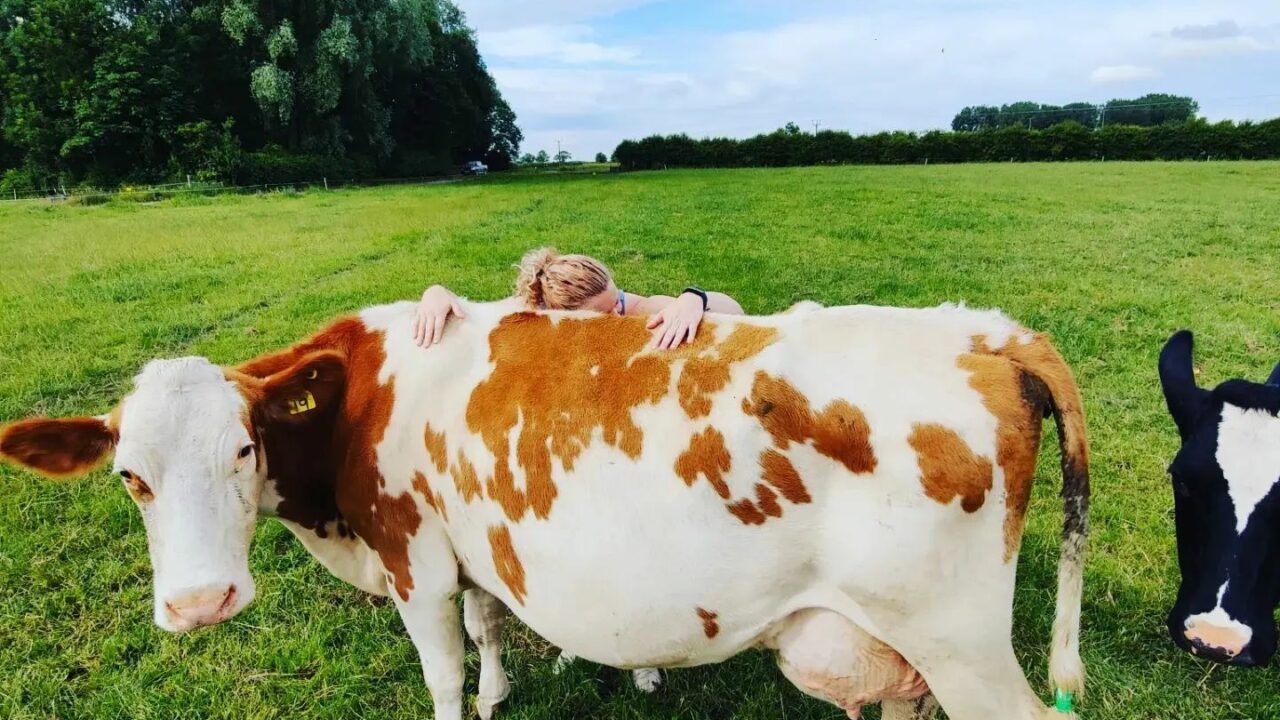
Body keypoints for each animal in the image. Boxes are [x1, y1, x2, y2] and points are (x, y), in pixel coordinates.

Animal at [0, 299, 1090, 720]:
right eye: (129, 477)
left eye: (240, 448)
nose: (201, 604)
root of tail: (987, 332)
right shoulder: (471, 549)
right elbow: (490, 630)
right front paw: (498, 691)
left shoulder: (414, 561)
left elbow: (440, 674)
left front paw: (465, 697)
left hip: (961, 641)